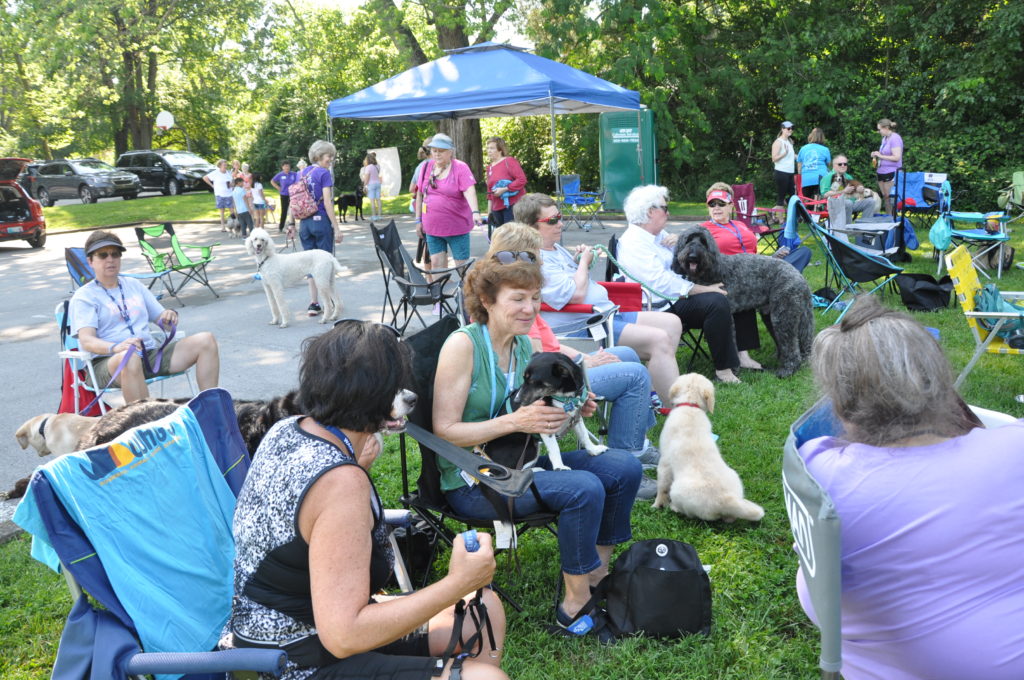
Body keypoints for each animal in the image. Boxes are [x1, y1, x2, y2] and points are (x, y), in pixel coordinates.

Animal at [671, 227, 815, 376]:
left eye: (703, 241)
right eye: (688, 240)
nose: (693, 256)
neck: (710, 270)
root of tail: (799, 276)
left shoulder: (726, 318)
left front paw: (733, 370)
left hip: (783, 316)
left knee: (792, 345)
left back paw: (788, 369)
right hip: (781, 316)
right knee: (801, 340)